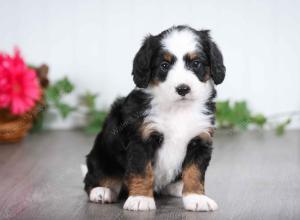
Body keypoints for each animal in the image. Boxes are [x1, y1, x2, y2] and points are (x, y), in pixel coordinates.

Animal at [82, 25, 225, 211]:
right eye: (164, 65)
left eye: (196, 64)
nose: (183, 89)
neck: (178, 109)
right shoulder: (141, 139)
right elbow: (142, 170)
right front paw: (140, 198)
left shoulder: (200, 139)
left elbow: (195, 171)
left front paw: (196, 197)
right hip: (102, 155)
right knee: (94, 178)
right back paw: (102, 191)